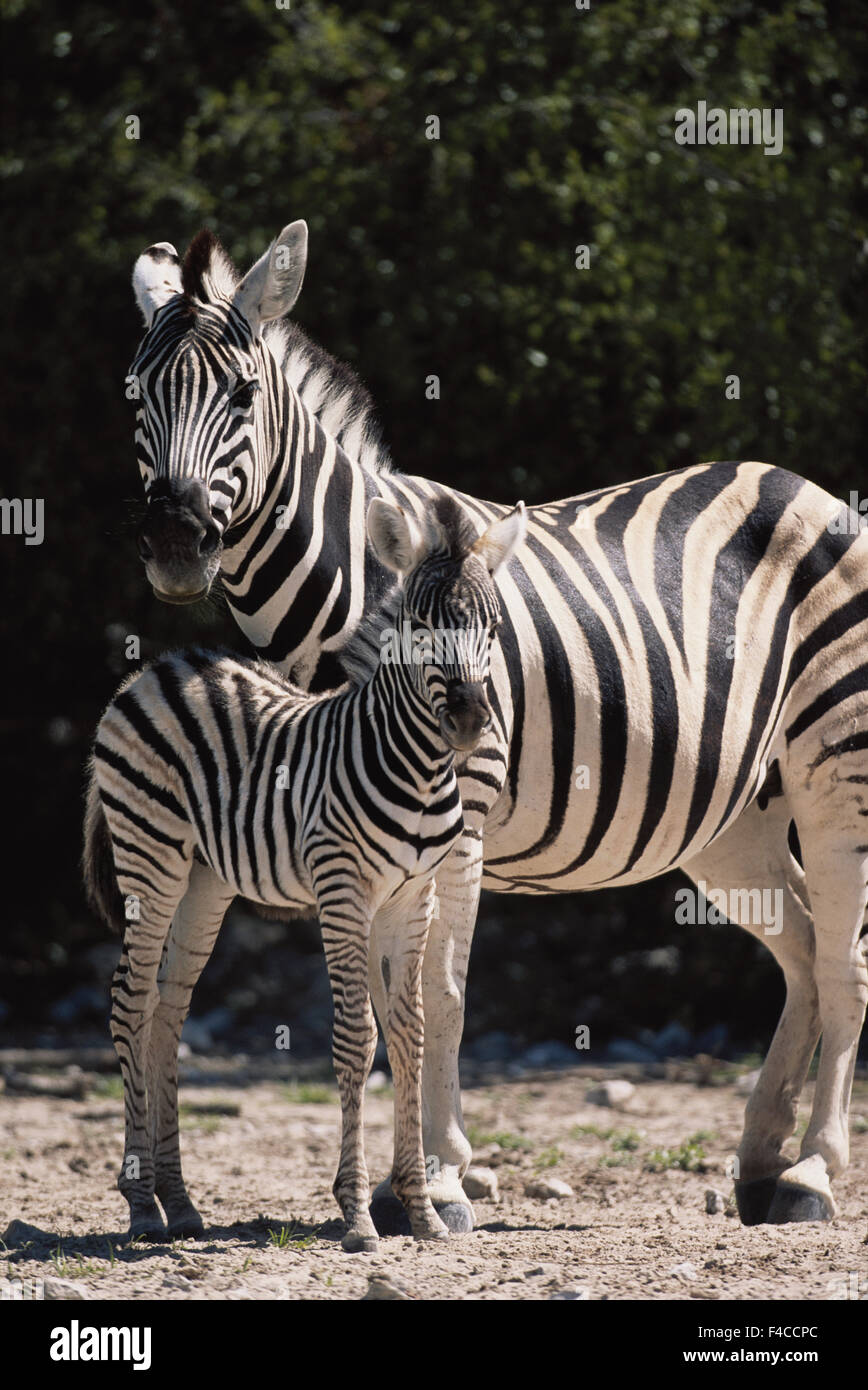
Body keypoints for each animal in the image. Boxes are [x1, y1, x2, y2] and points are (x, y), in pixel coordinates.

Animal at [84, 492, 525, 1251]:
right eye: (420, 626)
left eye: (492, 628)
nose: (471, 721)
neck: (416, 767)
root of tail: (161, 664)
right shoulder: (342, 891)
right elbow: (357, 1039)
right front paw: (357, 1215)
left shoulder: (413, 897)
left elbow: (409, 1034)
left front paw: (421, 1209)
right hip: (151, 852)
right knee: (130, 999)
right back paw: (141, 1203)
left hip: (205, 880)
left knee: (169, 1008)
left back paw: (181, 1202)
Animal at [120, 222, 868, 1234]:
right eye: (135, 394)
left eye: (241, 393)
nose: (175, 543)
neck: (364, 589)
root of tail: (798, 481)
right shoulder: (356, 821)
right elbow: (394, 997)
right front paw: (414, 1180)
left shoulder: (459, 817)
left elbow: (439, 993)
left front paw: (438, 1178)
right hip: (732, 814)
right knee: (800, 948)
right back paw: (760, 1162)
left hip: (837, 762)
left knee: (843, 959)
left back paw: (816, 1173)